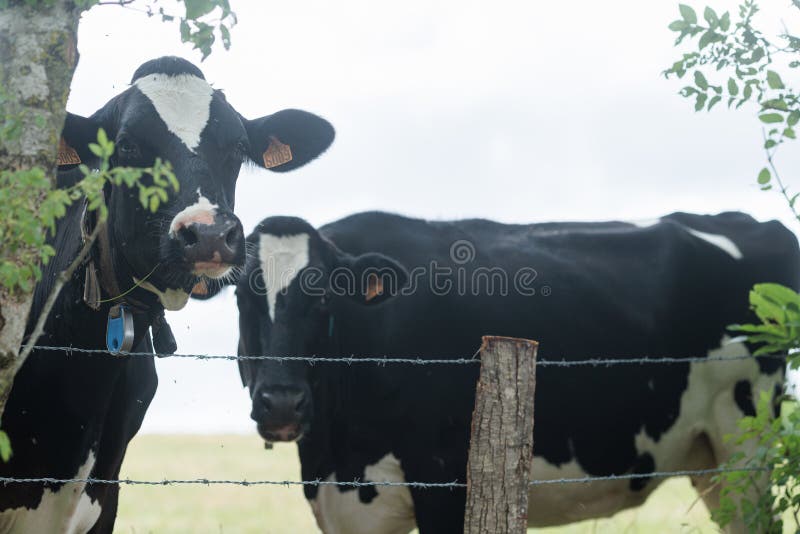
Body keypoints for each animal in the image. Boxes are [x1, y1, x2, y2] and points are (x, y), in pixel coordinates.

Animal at [227, 211, 800, 532]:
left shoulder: (444, 481)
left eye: (323, 297)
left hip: (746, 441)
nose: (281, 402)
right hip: (712, 461)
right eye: (240, 295)